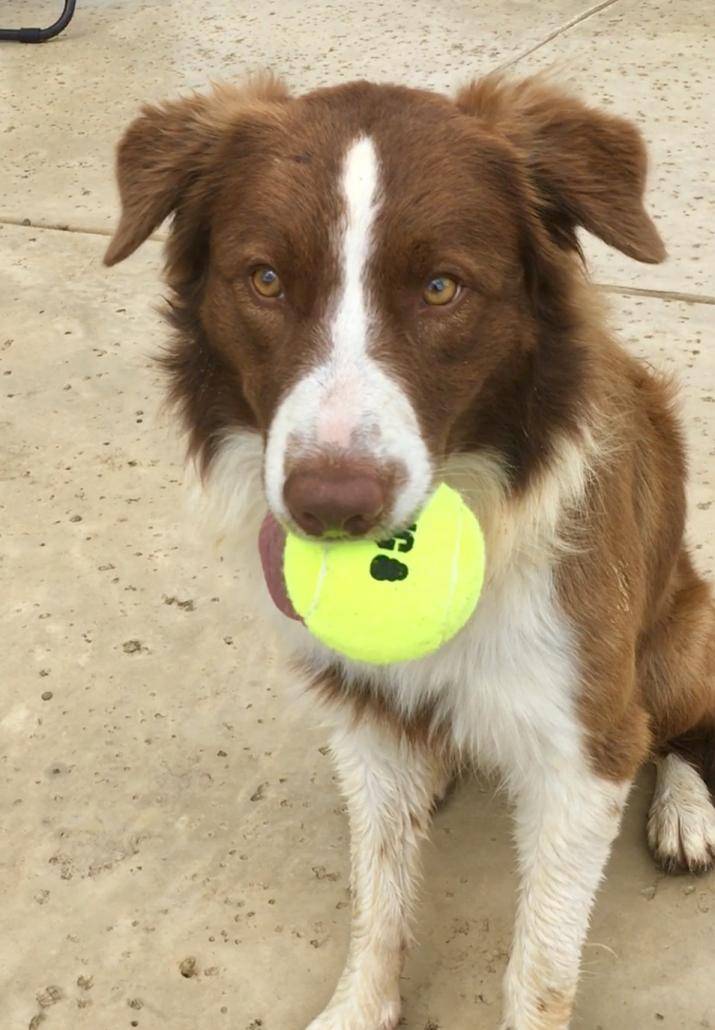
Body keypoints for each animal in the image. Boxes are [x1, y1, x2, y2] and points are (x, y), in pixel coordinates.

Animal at [106, 74, 715, 1030]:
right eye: (265, 279)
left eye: (440, 287)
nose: (329, 507)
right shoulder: (355, 700)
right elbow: (379, 894)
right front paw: (360, 1007)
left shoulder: (580, 745)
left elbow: (539, 962)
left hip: (680, 634)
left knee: (685, 723)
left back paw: (685, 809)